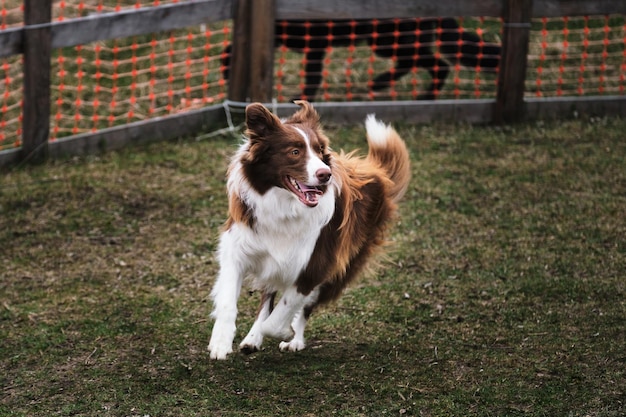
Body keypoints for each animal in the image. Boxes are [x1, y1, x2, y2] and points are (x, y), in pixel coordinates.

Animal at [206, 101, 410, 358]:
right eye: (295, 152)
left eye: (320, 149)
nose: (325, 174)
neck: (284, 206)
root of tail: (376, 173)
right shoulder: (238, 248)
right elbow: (228, 301)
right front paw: (220, 341)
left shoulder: (316, 265)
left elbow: (281, 315)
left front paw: (285, 331)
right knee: (268, 297)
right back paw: (253, 338)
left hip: (341, 268)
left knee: (303, 307)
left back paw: (293, 339)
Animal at [222, 17, 500, 101]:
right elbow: (229, 47)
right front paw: (226, 70)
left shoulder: (316, 42)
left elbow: (313, 76)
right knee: (430, 63)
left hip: (387, 41)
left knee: (437, 64)